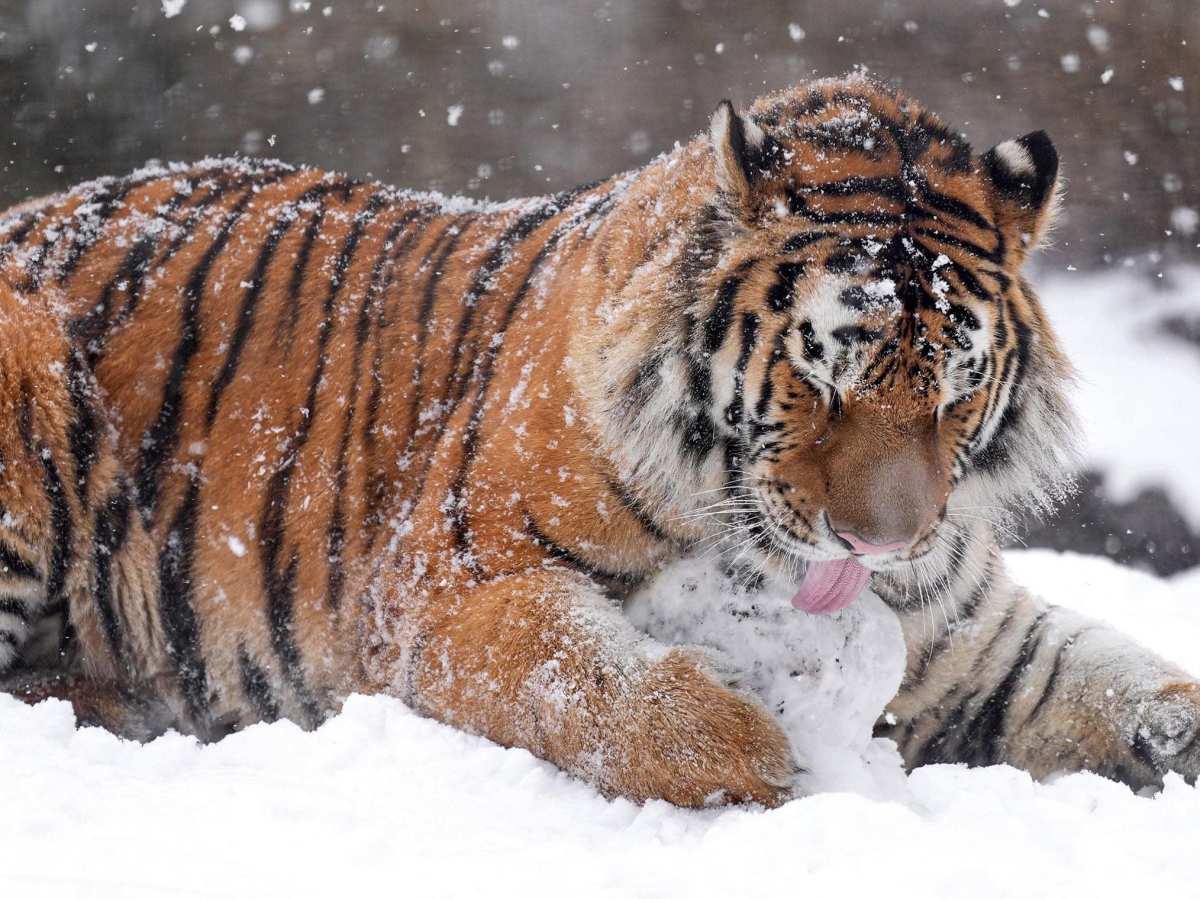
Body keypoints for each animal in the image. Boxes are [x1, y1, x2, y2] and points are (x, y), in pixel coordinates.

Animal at [1, 74, 1198, 808]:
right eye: (822, 377)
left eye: (953, 391)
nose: (880, 545)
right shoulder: (447, 590)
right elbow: (603, 683)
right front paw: (761, 758)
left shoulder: (971, 639)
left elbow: (1124, 685)